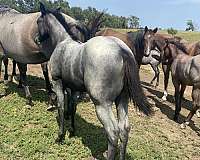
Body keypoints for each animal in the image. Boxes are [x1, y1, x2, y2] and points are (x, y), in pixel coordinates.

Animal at [37, 2, 153, 160]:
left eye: (38, 21)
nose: (36, 39)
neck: (63, 42)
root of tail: (122, 50)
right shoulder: (74, 88)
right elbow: (72, 107)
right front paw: (72, 130)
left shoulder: (57, 82)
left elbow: (61, 106)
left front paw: (60, 136)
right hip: (122, 99)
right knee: (124, 129)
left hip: (102, 104)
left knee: (113, 132)